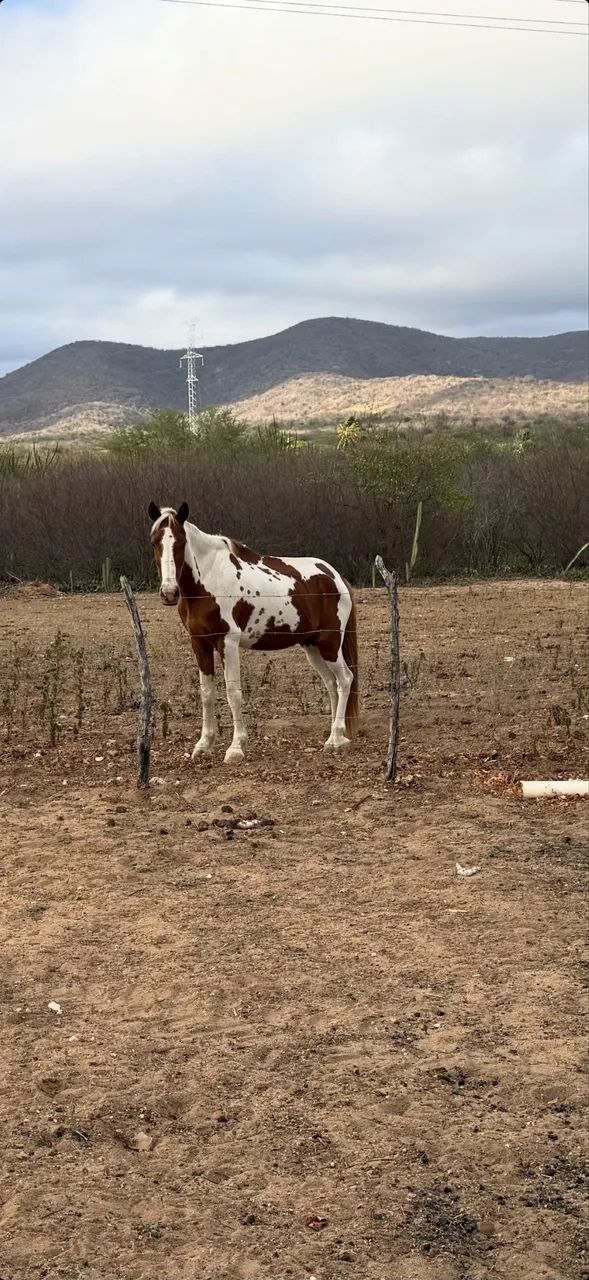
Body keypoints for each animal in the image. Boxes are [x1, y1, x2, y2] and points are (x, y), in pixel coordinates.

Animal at [148, 501, 358, 764]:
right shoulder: (199, 643)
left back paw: (338, 738)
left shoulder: (227, 643)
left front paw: (236, 747)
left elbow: (233, 693)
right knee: (331, 683)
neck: (208, 580)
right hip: (312, 646)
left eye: (180, 542)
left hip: (330, 643)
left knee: (345, 679)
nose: (169, 593)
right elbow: (206, 693)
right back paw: (332, 737)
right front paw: (203, 744)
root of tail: (336, 577)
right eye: (155, 542)